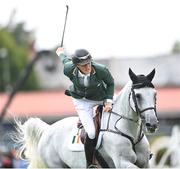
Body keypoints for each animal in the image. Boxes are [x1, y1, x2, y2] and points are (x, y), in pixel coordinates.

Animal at [14, 68, 160, 168]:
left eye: (155, 94)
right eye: (138, 96)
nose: (152, 124)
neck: (129, 132)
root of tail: (48, 129)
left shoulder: (145, 163)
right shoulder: (123, 162)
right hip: (56, 165)